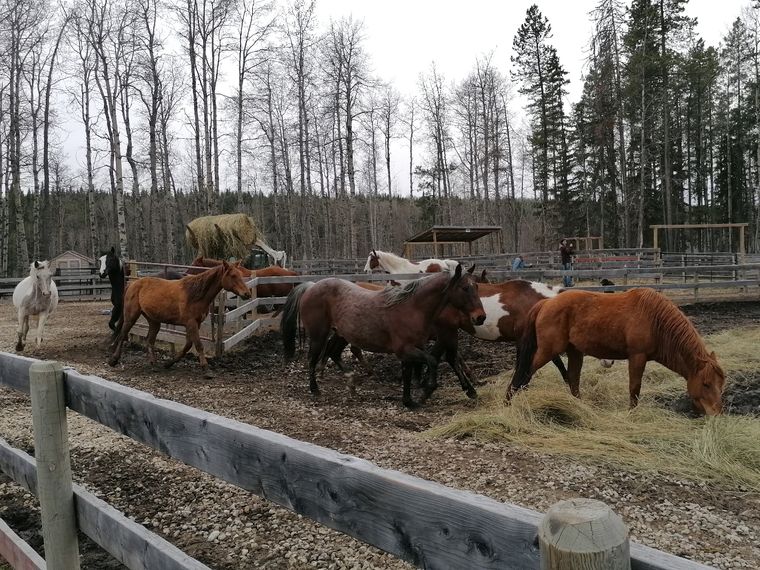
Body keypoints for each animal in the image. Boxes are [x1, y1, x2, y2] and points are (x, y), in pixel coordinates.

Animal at [109, 261, 252, 375]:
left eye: (240, 274)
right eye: (233, 276)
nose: (247, 294)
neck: (194, 294)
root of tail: (132, 284)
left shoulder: (194, 324)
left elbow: (188, 346)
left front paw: (168, 364)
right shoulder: (191, 323)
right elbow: (198, 345)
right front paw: (206, 369)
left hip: (154, 321)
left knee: (150, 340)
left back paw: (153, 363)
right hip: (131, 317)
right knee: (122, 334)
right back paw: (113, 360)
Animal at [281, 265, 486, 408]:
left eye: (476, 286)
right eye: (465, 288)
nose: (480, 317)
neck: (412, 308)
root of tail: (312, 286)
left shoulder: (413, 349)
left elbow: (409, 372)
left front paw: (409, 401)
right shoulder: (405, 349)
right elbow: (433, 361)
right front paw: (426, 391)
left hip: (341, 334)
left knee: (334, 353)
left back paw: (351, 383)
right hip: (319, 335)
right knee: (312, 358)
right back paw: (315, 389)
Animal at [510, 288, 725, 416]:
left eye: (720, 385)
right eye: (706, 384)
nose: (716, 414)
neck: (655, 321)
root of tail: (546, 303)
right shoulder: (637, 357)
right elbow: (634, 388)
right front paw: (632, 414)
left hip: (574, 352)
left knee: (573, 380)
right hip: (547, 351)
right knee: (525, 373)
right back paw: (509, 402)